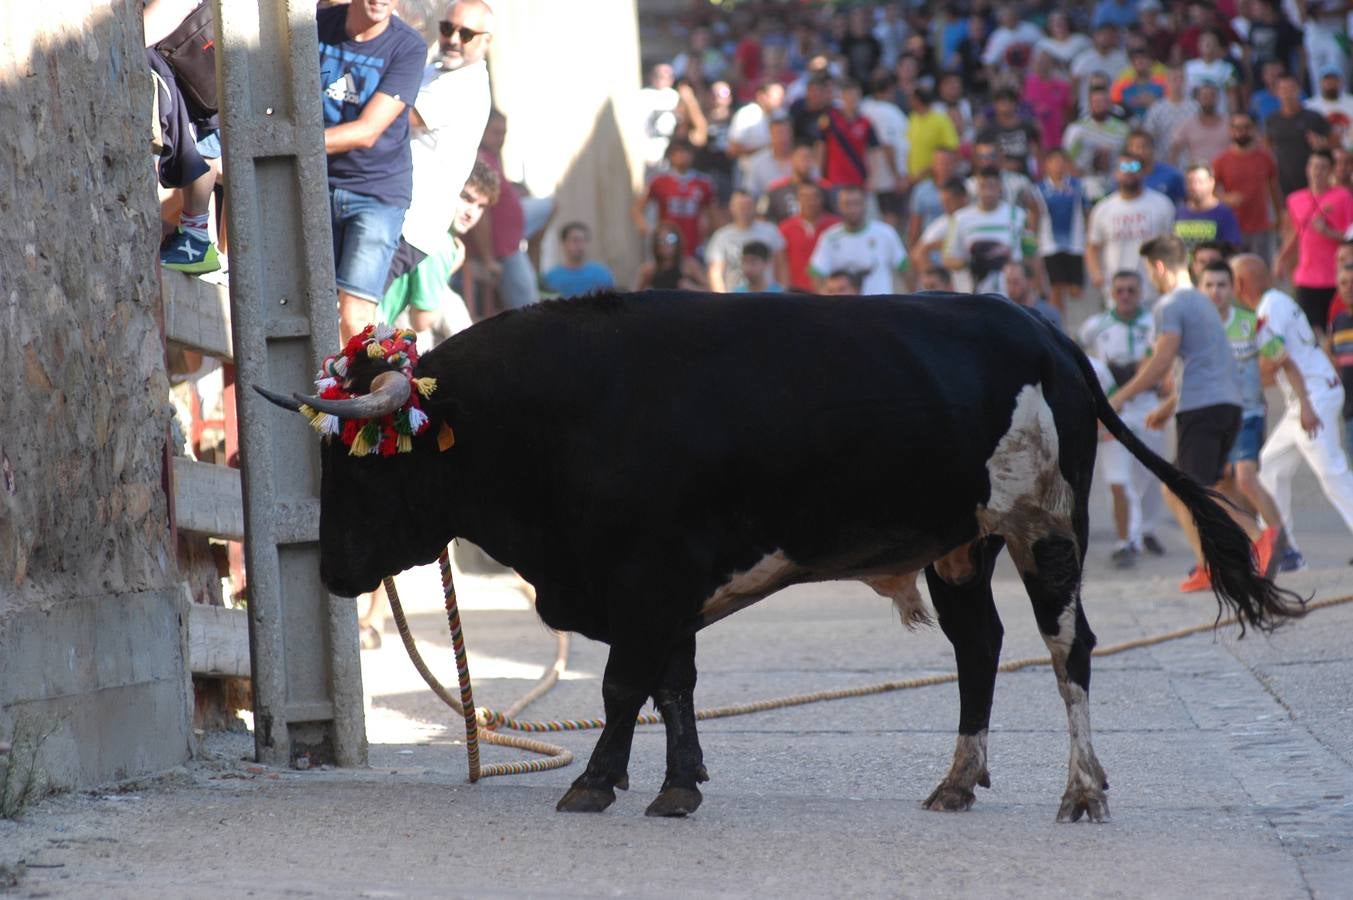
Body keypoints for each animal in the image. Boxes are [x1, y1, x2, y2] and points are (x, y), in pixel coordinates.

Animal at [251, 293, 1298, 822]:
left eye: (360, 467)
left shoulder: (649, 576)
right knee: (979, 650)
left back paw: (1080, 791)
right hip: (960, 544)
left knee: (1065, 649)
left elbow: (623, 685)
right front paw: (679, 782)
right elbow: (671, 684)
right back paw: (956, 780)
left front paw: (598, 782)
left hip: (1045, 526)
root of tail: (1047, 335)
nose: (332, 571)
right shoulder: (667, 586)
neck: (557, 412)